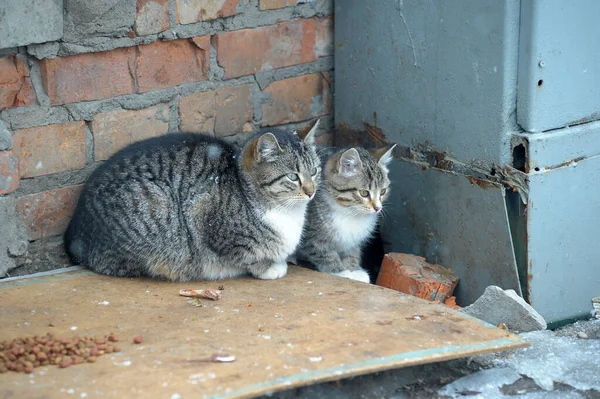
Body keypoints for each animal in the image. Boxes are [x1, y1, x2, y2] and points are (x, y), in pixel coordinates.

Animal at [63, 120, 322, 282]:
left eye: (315, 171)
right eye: (292, 177)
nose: (311, 192)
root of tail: (75, 228)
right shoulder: (202, 214)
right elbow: (246, 255)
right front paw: (269, 267)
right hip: (155, 205)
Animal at [292, 144, 396, 284]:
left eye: (383, 191)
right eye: (364, 193)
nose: (377, 208)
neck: (349, 212)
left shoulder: (354, 240)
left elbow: (352, 252)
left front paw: (353, 269)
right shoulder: (311, 237)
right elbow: (325, 254)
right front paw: (341, 272)